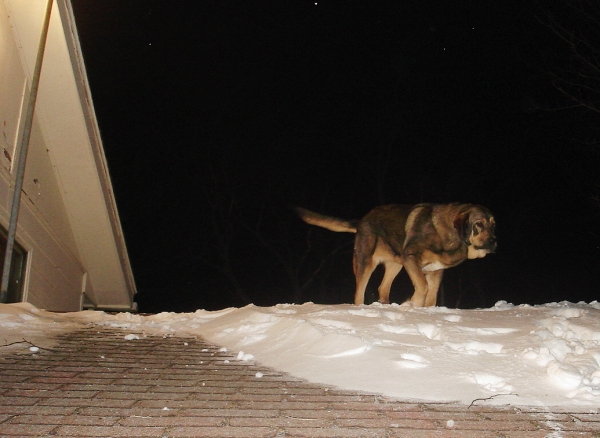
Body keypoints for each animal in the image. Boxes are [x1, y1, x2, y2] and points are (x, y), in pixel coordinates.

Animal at [296, 204, 496, 306]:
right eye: (478, 224)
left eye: (494, 225)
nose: (494, 241)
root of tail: (362, 220)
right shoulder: (411, 258)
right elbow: (422, 287)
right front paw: (411, 304)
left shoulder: (435, 271)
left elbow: (431, 296)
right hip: (366, 263)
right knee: (359, 293)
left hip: (396, 264)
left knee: (382, 288)